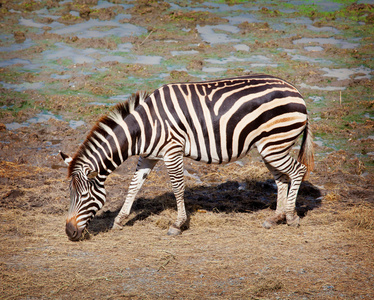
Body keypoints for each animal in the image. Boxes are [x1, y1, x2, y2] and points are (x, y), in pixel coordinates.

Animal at [60, 75, 312, 241]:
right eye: (70, 194)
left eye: (83, 196)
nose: (69, 233)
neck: (143, 128)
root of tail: (296, 90)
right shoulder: (148, 156)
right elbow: (134, 186)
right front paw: (120, 220)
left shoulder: (172, 151)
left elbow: (178, 188)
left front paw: (178, 224)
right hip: (270, 147)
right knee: (282, 178)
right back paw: (276, 217)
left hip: (274, 144)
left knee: (298, 171)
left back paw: (291, 217)